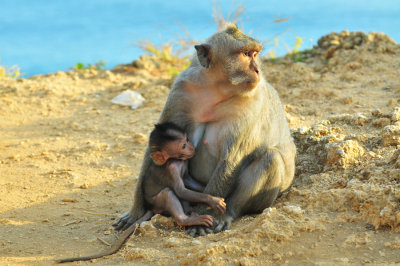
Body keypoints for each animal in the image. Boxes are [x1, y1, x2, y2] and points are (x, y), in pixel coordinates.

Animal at [114, 23, 296, 237]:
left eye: (255, 54)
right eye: (246, 54)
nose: (257, 70)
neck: (217, 89)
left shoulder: (251, 102)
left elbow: (231, 159)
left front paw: (204, 218)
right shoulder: (181, 89)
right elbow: (153, 148)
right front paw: (135, 213)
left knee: (270, 158)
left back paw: (225, 214)